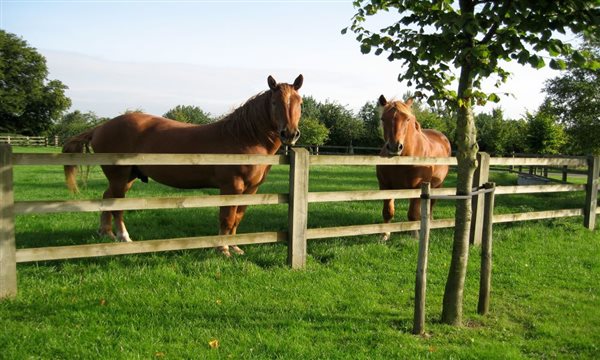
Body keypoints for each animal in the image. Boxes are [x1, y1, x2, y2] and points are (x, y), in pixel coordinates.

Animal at [64, 74, 304, 258]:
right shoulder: (231, 187)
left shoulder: (251, 189)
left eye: (299, 103)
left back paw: (107, 234)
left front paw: (236, 247)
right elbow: (227, 218)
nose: (290, 134)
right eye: (274, 103)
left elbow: (237, 218)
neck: (244, 137)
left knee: (107, 199)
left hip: (126, 178)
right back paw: (124, 237)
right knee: (117, 207)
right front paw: (223, 249)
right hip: (119, 178)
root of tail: (100, 127)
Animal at [376, 95, 450, 242]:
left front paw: (415, 235)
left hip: (437, 185)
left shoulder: (417, 188)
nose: (395, 146)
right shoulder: (385, 186)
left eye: (407, 119)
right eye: (383, 119)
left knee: (431, 205)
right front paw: (385, 235)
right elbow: (388, 212)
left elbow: (413, 214)